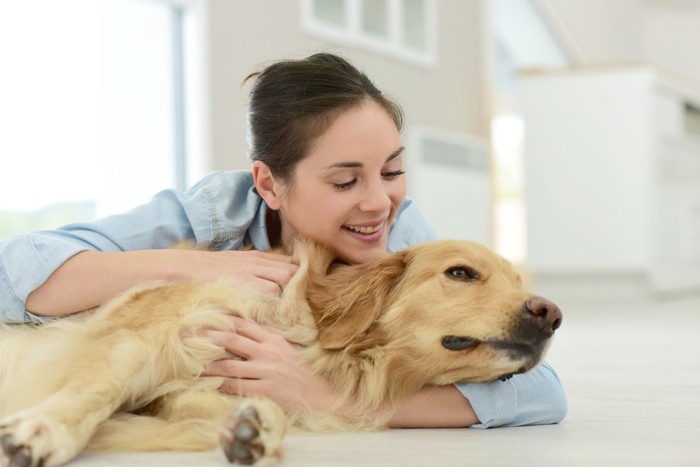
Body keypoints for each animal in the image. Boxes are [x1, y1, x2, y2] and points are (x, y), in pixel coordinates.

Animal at [0, 239, 560, 466]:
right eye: (461, 273)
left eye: (517, 282)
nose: (551, 314)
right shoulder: (135, 338)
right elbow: (92, 391)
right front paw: (41, 432)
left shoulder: (182, 387)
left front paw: (249, 427)